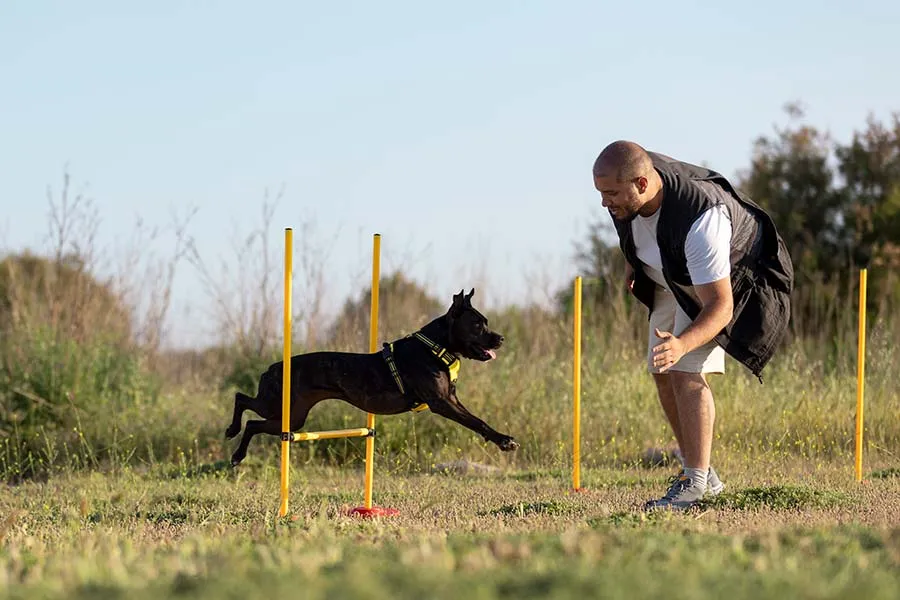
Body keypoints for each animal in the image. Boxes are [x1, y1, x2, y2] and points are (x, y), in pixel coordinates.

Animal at [227, 288, 520, 466]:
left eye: (485, 322)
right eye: (477, 324)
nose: (502, 338)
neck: (435, 346)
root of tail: (272, 368)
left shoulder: (451, 399)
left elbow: (478, 419)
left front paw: (503, 438)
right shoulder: (442, 403)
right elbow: (476, 421)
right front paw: (505, 441)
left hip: (293, 418)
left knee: (254, 423)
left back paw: (237, 450)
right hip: (278, 405)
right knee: (242, 400)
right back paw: (233, 437)